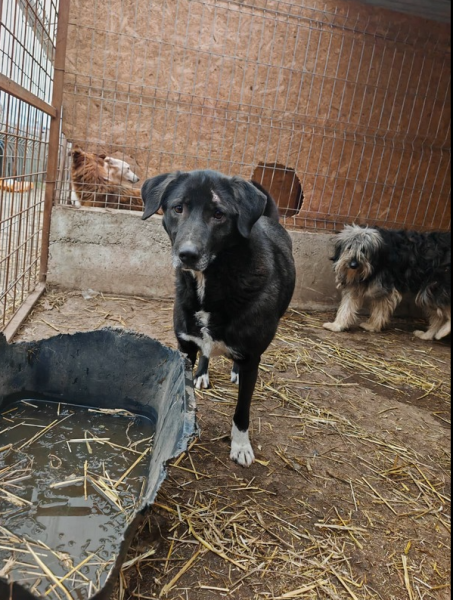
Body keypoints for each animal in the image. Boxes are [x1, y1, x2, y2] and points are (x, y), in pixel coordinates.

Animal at [141, 170, 295, 466]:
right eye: (178, 208)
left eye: (219, 214)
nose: (187, 255)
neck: (210, 285)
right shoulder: (185, 347)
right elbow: (185, 391)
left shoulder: (251, 357)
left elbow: (242, 410)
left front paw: (241, 446)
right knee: (206, 351)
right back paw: (203, 373)